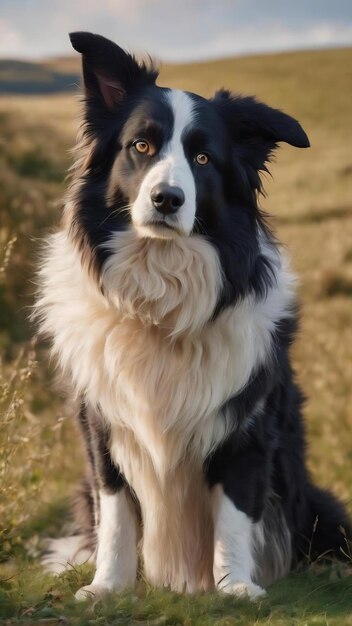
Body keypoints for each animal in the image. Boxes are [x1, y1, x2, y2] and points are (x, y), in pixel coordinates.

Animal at [34, 31, 350, 596]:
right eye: (141, 146)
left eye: (203, 157)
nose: (167, 199)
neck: (161, 300)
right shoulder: (102, 424)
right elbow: (116, 514)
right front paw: (107, 587)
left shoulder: (246, 423)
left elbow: (234, 511)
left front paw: (234, 587)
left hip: (319, 504)